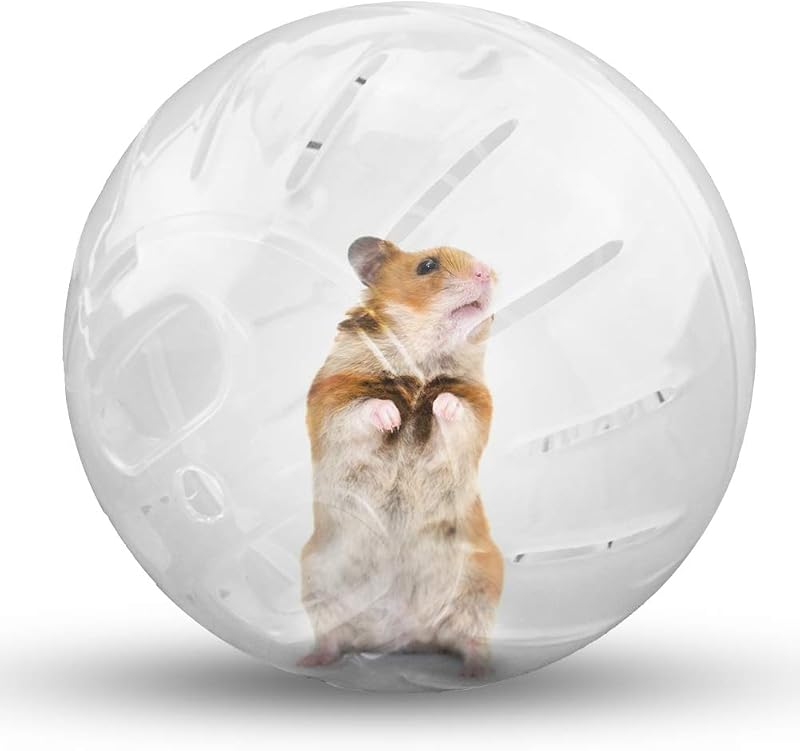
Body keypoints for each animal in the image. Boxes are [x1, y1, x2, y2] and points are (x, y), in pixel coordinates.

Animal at [300, 236, 503, 677]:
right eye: (427, 266)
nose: (487, 272)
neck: (422, 360)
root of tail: (404, 635)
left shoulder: (476, 407)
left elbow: (454, 408)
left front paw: (439, 405)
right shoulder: (333, 399)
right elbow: (364, 410)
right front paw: (392, 416)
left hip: (480, 582)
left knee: (470, 637)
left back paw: (477, 671)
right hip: (318, 580)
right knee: (332, 636)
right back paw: (309, 660)